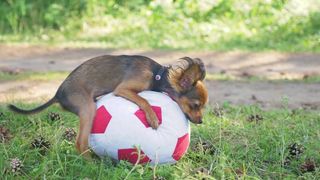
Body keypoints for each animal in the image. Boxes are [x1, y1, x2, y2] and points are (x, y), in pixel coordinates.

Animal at [8, 54, 209, 158]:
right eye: (195, 105)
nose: (200, 121)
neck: (156, 76)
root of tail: (57, 94)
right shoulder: (123, 89)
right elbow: (143, 100)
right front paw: (152, 116)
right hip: (88, 108)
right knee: (80, 142)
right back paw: (91, 163)